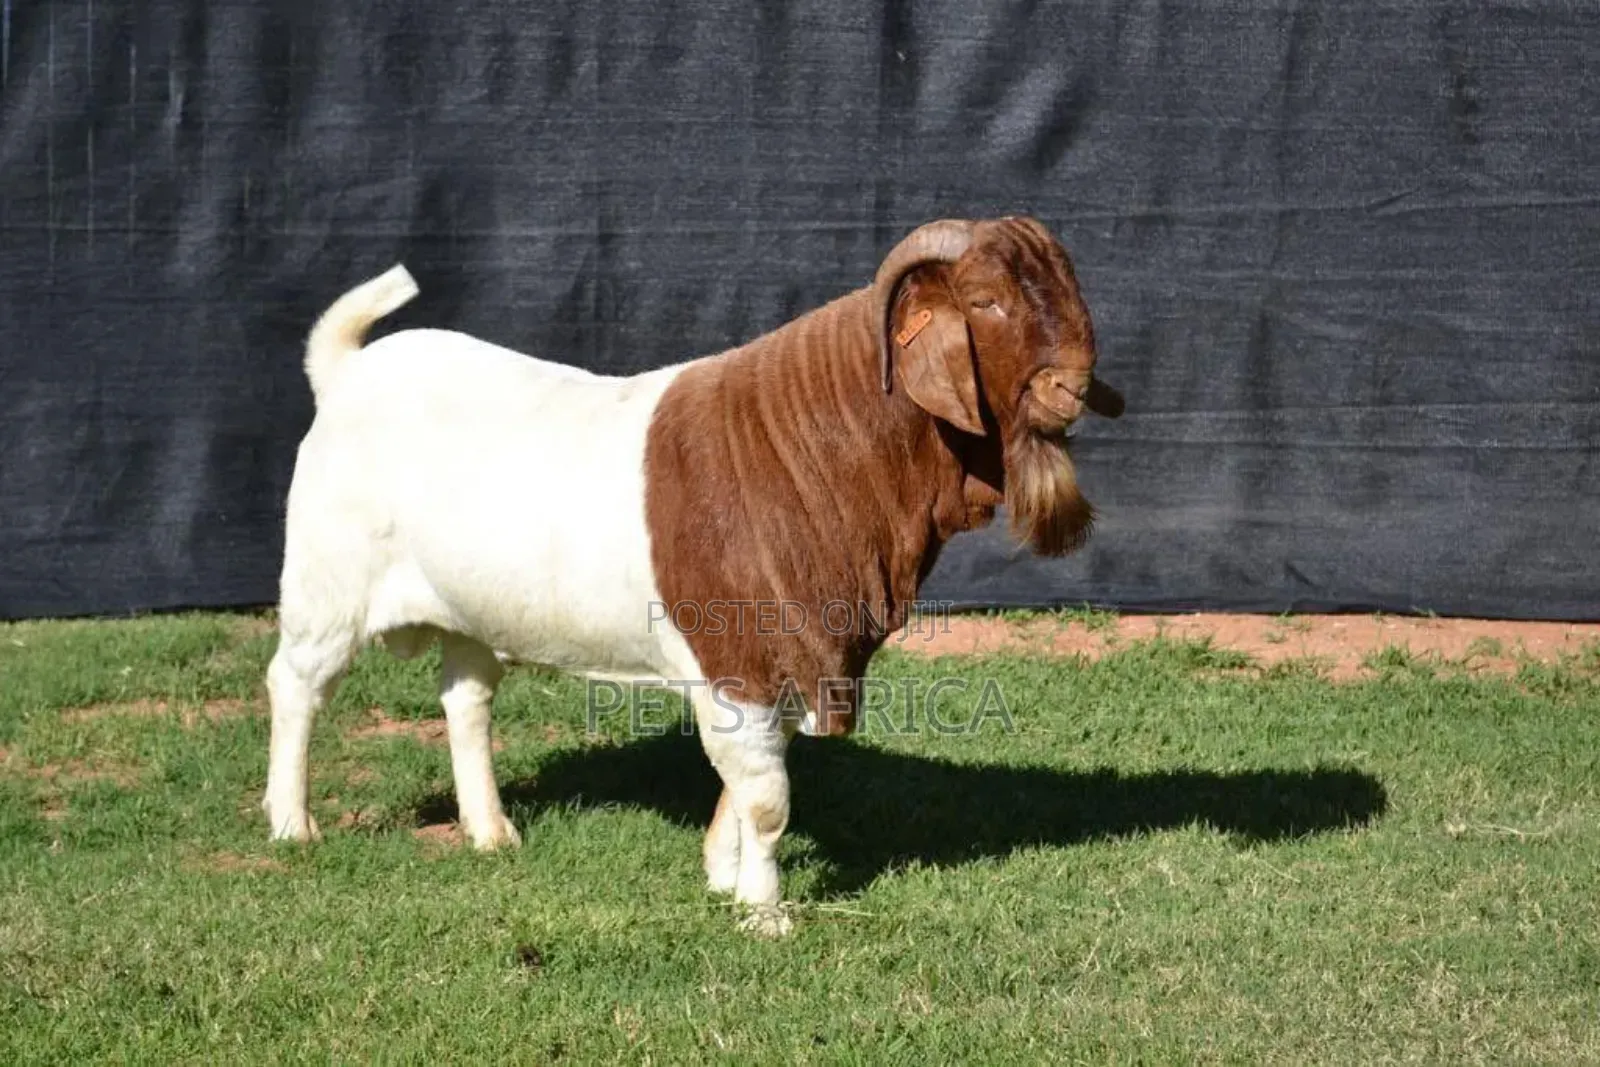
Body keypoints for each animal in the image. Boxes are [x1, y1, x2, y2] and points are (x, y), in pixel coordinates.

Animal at [263, 217, 1123, 936]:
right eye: (985, 300)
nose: (1073, 386)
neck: (826, 449)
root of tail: (346, 371)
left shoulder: (783, 661)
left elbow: (748, 785)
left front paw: (722, 874)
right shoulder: (737, 661)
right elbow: (769, 799)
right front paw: (765, 914)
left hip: (470, 606)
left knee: (467, 699)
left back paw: (491, 831)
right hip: (326, 584)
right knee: (296, 684)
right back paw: (291, 823)